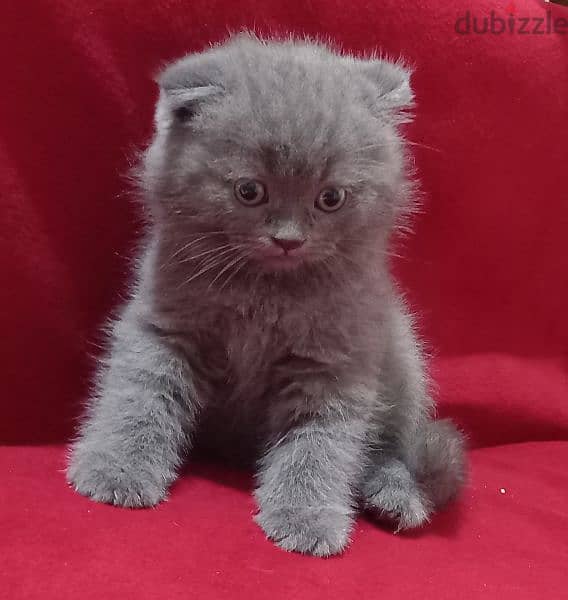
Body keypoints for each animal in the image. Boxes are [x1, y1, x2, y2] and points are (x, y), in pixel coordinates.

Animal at [67, 34, 466, 556]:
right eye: (250, 191)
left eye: (330, 198)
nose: (288, 239)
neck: (264, 292)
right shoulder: (164, 325)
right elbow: (139, 392)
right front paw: (115, 466)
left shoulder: (334, 357)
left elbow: (322, 442)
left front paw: (307, 517)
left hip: (402, 359)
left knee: (396, 447)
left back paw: (394, 495)